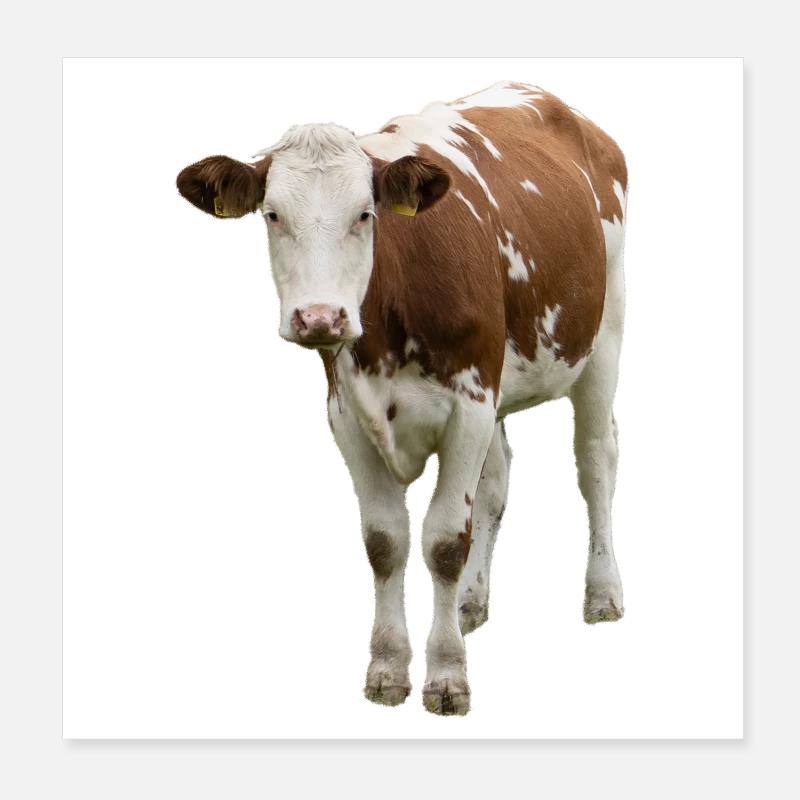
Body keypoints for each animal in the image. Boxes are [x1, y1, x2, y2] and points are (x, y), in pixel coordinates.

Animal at [176, 81, 628, 716]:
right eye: (272, 215)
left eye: (365, 215)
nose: (320, 317)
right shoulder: (347, 414)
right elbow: (385, 541)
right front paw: (388, 666)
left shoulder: (469, 404)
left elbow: (444, 540)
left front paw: (447, 676)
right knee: (497, 480)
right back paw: (470, 602)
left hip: (603, 335)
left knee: (596, 461)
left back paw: (603, 592)